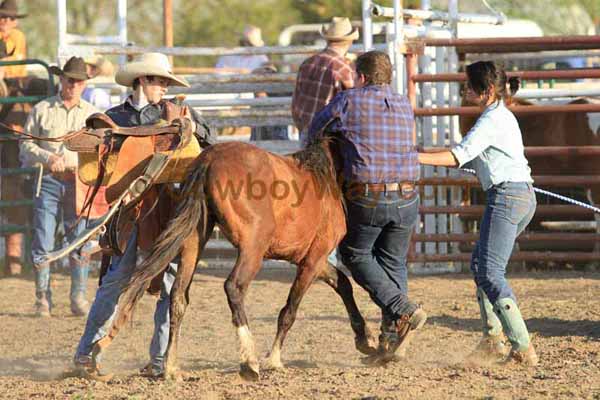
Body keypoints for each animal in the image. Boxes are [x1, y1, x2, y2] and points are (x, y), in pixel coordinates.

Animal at [92, 138, 378, 382]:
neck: (323, 177)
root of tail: (208, 160)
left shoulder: (311, 259)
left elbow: (343, 284)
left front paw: (366, 340)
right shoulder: (313, 259)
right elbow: (290, 310)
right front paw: (273, 359)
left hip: (194, 239)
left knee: (178, 296)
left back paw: (172, 367)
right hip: (253, 249)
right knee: (234, 287)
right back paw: (249, 361)